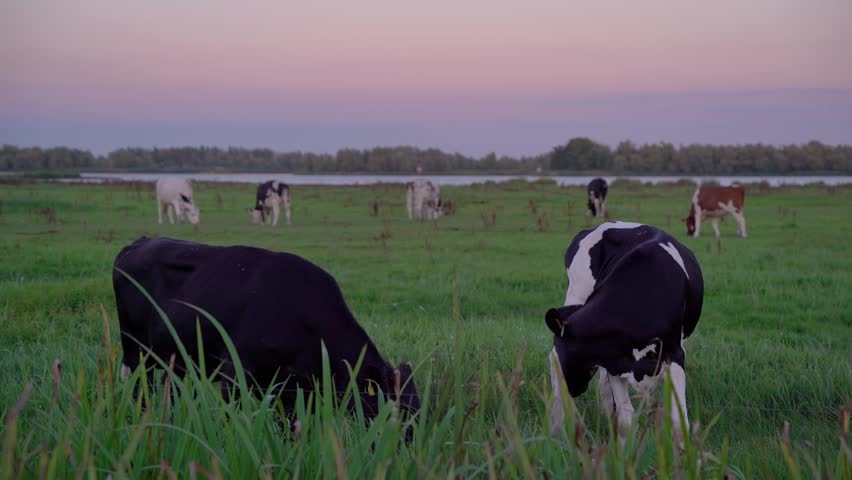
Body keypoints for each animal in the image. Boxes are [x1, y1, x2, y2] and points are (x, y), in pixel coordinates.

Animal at [113, 237, 420, 422]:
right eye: (397, 413)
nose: (407, 447)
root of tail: (137, 243)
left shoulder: (291, 386)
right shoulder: (236, 371)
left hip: (174, 356)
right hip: (134, 348)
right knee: (137, 383)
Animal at [545, 222, 703, 443]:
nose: (572, 389)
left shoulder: (675, 355)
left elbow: (678, 422)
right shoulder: (614, 361)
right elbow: (625, 420)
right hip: (576, 293)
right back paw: (558, 429)